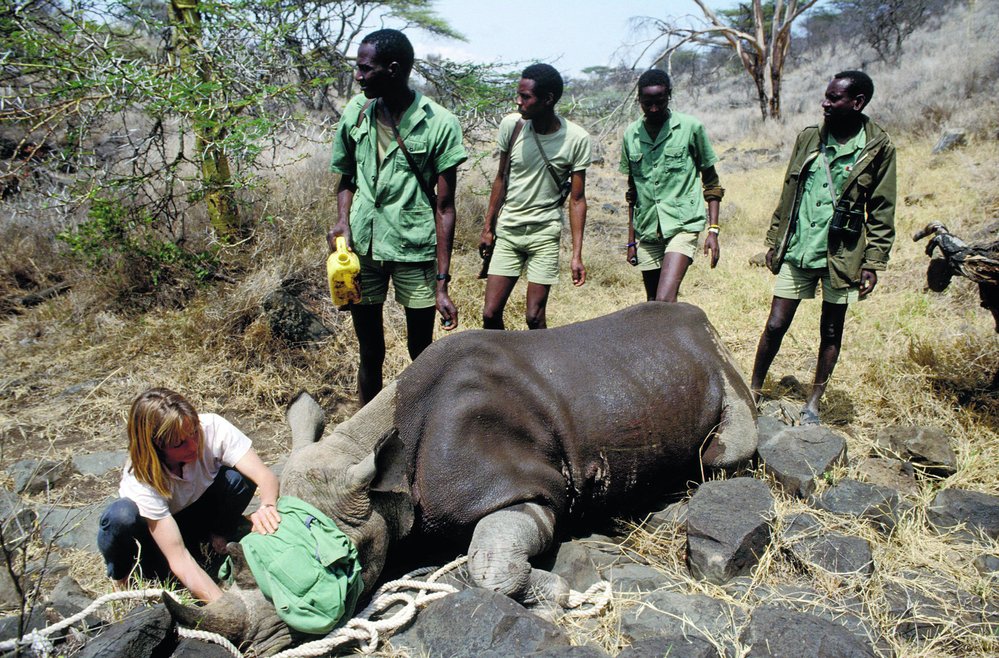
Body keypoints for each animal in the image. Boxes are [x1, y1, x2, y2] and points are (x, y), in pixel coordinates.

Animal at [168, 302, 756, 652]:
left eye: (338, 568)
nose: (256, 646)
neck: (388, 481)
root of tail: (706, 323)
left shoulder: (524, 488)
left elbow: (489, 566)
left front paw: (557, 599)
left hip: (716, 362)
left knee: (727, 450)